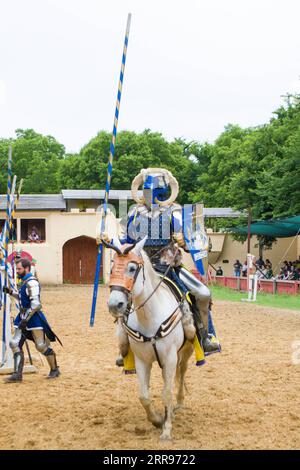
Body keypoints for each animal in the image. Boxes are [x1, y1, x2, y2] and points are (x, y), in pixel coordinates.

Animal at [105, 239, 195, 440]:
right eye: (112, 268)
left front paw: (166, 430)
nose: (115, 304)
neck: (150, 317)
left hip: (186, 352)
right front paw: (157, 420)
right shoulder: (142, 360)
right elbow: (144, 396)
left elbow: (166, 393)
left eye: (132, 268)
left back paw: (179, 403)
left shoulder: (170, 358)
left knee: (182, 372)